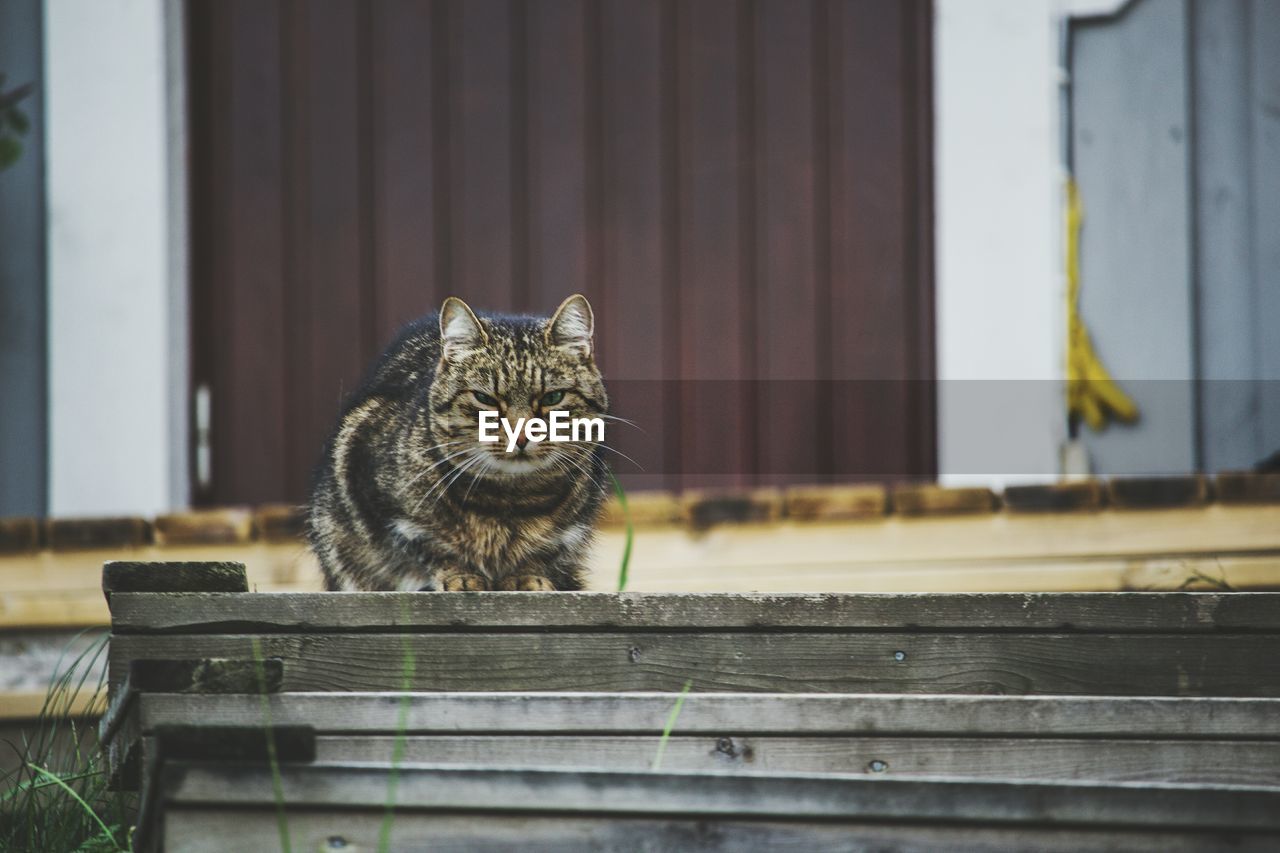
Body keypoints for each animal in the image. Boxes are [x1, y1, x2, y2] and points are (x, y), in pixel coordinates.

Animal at [308, 295, 609, 589]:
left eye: (552, 397)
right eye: (485, 398)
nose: (521, 435)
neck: (508, 502)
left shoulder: (572, 530)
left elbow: (544, 553)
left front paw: (527, 577)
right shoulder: (391, 513)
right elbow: (432, 547)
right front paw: (460, 576)